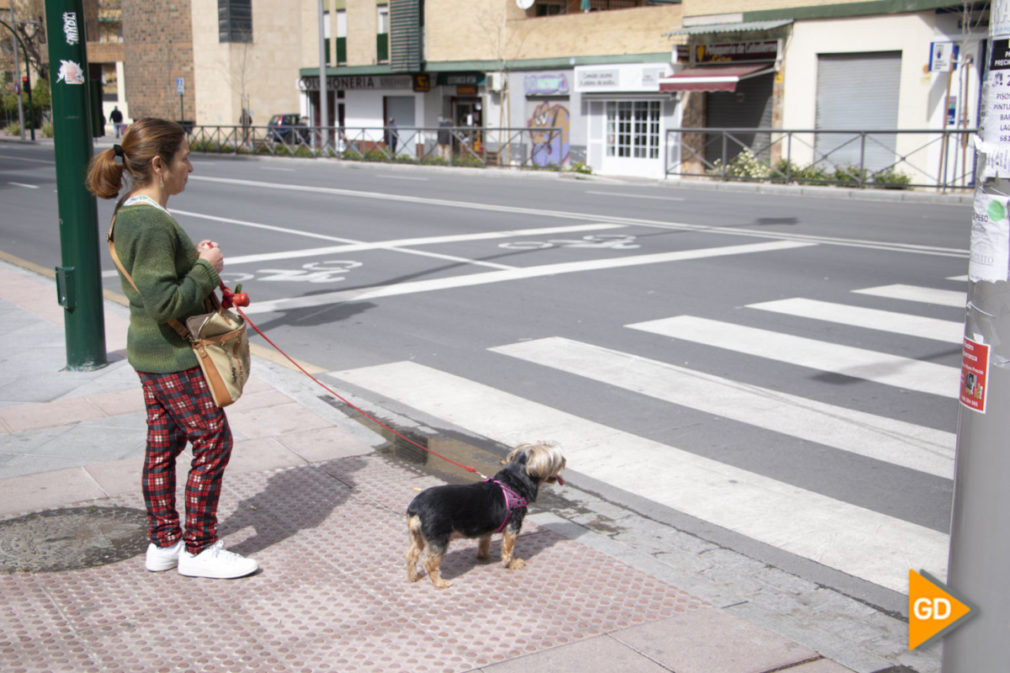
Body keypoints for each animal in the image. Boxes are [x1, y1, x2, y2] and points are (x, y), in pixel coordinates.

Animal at [410, 442, 569, 586]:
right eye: (556, 459)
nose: (565, 460)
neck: (514, 481)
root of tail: (416, 508)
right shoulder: (513, 526)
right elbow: (508, 548)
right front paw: (511, 563)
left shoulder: (486, 528)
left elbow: (484, 542)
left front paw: (484, 556)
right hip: (439, 538)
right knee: (429, 562)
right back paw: (439, 582)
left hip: (417, 536)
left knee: (411, 555)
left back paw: (413, 577)